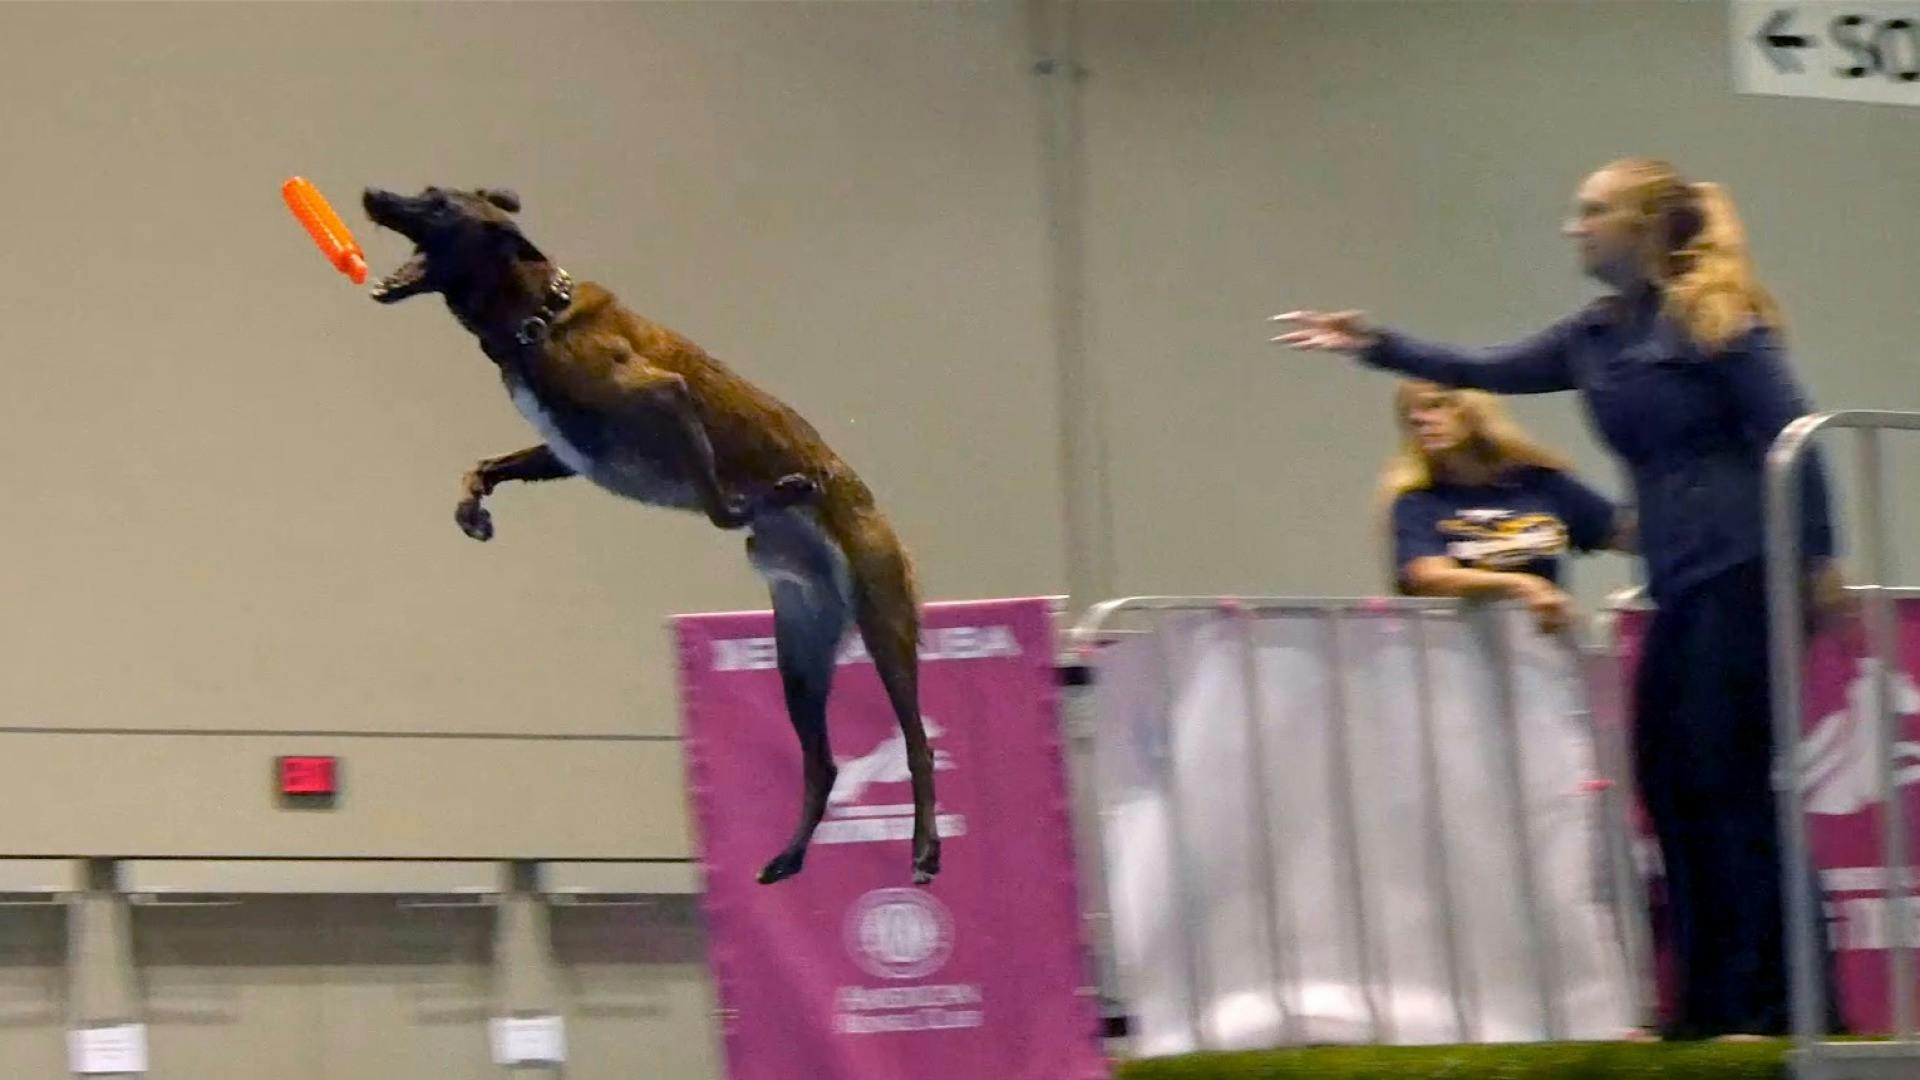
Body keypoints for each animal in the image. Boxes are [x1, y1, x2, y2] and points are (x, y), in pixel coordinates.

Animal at [359, 185, 940, 886]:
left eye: (438, 203)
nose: (372, 195)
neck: (535, 314)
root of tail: (873, 507)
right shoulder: (569, 451)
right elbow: (484, 468)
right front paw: (473, 511)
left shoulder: (666, 395)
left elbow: (720, 506)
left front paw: (771, 493)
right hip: (799, 653)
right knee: (822, 764)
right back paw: (789, 857)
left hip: (884, 623)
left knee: (917, 742)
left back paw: (925, 849)